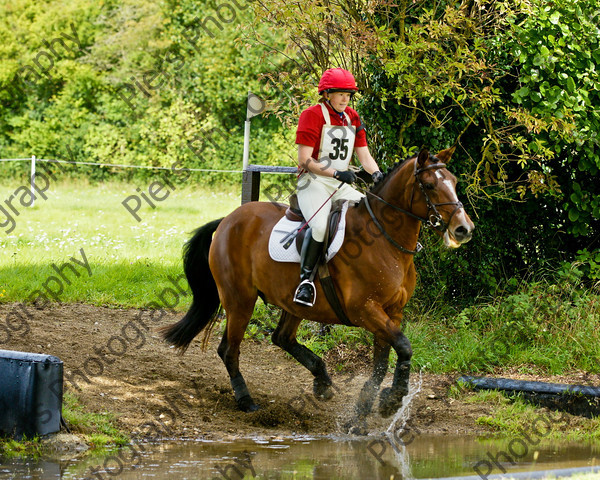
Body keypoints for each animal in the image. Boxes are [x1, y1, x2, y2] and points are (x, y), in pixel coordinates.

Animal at [159, 146, 474, 432]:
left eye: (455, 182)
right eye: (430, 185)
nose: (464, 229)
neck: (385, 239)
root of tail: (228, 219)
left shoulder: (391, 313)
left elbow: (384, 361)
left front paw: (362, 414)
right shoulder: (365, 310)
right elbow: (404, 347)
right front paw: (391, 401)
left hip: (292, 303)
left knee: (282, 338)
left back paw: (322, 381)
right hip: (240, 301)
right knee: (229, 349)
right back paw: (246, 400)